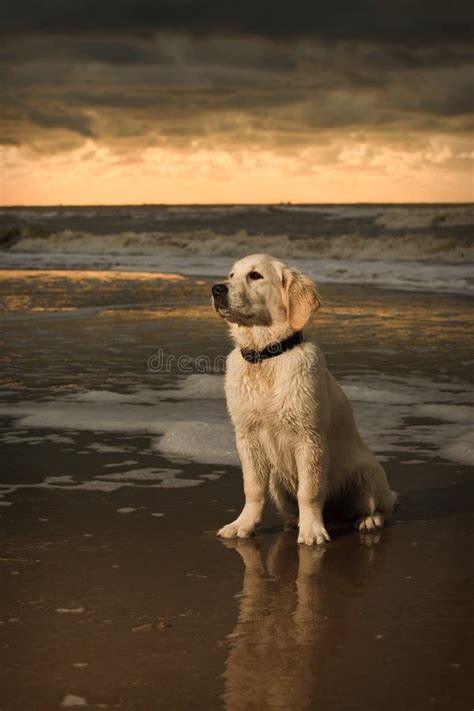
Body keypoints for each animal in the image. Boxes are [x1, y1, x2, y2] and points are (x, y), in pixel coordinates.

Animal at [212, 254, 396, 544]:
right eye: (231, 275)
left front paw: (312, 531)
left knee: (375, 507)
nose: (216, 289)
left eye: (255, 275)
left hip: (367, 472)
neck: (266, 356)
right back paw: (294, 522)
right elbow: (252, 488)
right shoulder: (247, 436)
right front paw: (243, 524)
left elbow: (309, 492)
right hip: (277, 481)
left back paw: (368, 520)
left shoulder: (309, 437)